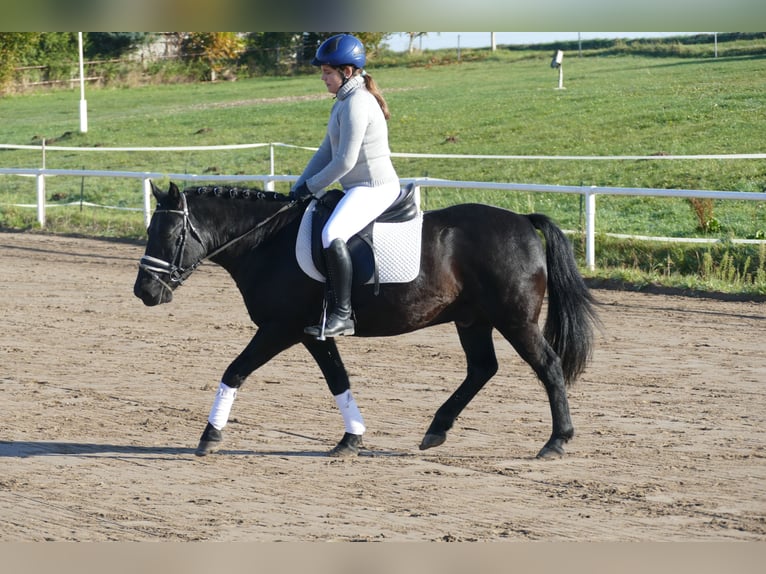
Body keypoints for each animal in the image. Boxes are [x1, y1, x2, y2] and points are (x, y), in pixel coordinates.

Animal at [134, 182, 600, 462]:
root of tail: (522, 222)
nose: (144, 292)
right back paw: (436, 430)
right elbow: (338, 380)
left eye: (170, 235)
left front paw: (209, 435)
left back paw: (556, 441)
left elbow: (235, 370)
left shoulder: (280, 328)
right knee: (483, 368)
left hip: (514, 319)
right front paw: (351, 438)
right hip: (473, 320)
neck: (268, 242)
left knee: (548, 367)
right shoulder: (314, 334)